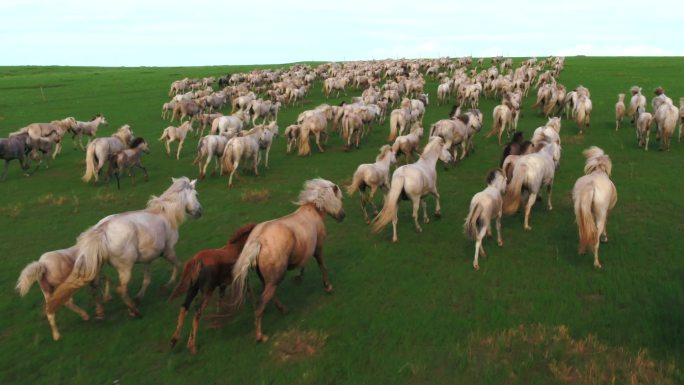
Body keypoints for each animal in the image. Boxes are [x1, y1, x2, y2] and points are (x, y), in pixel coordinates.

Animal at [46, 177, 203, 318]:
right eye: (196, 194)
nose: (200, 212)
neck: (166, 215)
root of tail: (102, 230)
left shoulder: (148, 259)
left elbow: (147, 280)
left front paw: (139, 297)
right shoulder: (168, 251)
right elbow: (178, 266)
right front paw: (167, 286)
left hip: (98, 268)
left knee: (94, 287)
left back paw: (100, 312)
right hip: (125, 268)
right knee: (120, 290)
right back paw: (134, 311)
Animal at [168, 222, 256, 352]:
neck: (238, 248)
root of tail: (196, 260)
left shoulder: (223, 284)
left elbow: (221, 300)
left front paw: (219, 316)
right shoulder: (242, 278)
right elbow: (249, 291)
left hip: (193, 289)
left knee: (184, 308)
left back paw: (174, 340)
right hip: (207, 292)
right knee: (197, 313)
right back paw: (192, 345)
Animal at [231, 178, 348, 342]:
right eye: (341, 198)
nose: (343, 215)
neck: (313, 212)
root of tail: (258, 240)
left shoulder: (306, 250)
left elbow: (303, 265)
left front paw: (299, 277)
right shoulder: (318, 248)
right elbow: (322, 266)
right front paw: (328, 287)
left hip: (268, 278)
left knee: (269, 294)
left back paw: (283, 309)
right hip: (276, 277)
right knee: (261, 303)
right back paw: (261, 336)